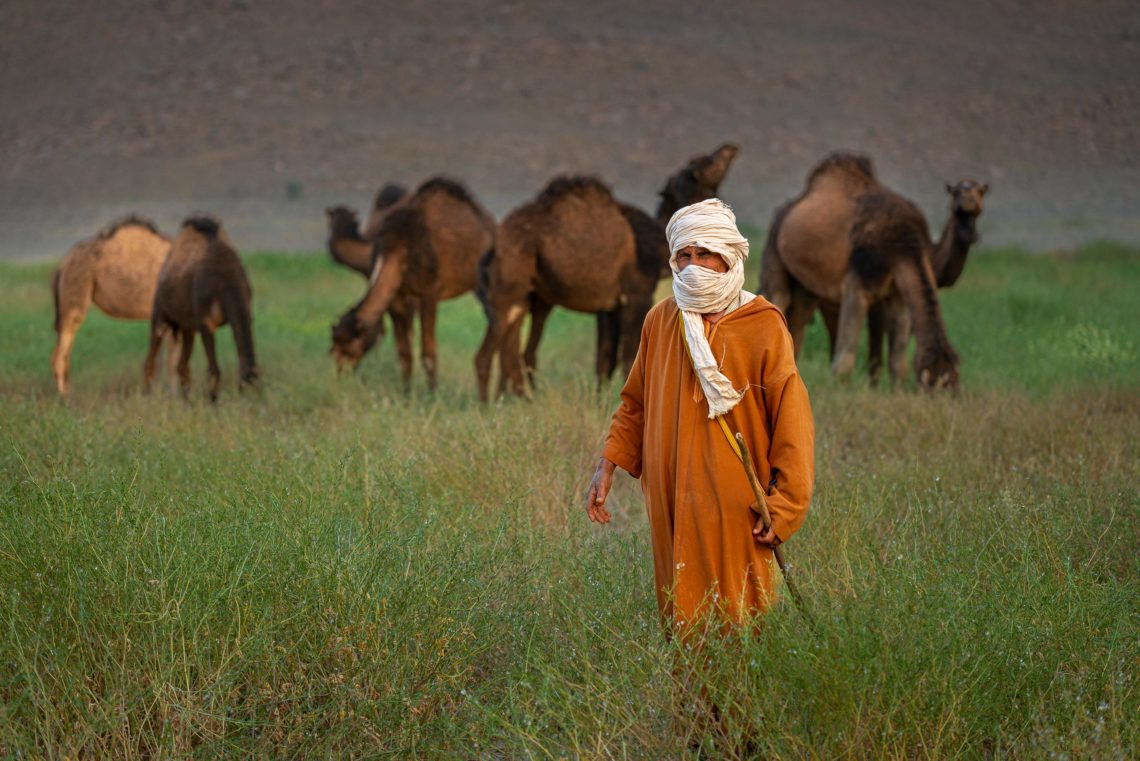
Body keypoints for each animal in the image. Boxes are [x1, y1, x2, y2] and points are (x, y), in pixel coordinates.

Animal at [143, 215, 257, 401]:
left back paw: (187, 401)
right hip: (160, 315)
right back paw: (148, 397)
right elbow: (213, 370)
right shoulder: (206, 322)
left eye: (256, 387)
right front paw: (213, 402)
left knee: (182, 365)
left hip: (186, 327)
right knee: (150, 361)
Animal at [326, 176, 494, 391]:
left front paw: (432, 394)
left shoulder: (428, 295)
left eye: (350, 348)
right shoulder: (396, 299)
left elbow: (428, 353)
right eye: (333, 348)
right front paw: (405, 393)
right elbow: (403, 353)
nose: (341, 375)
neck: (399, 249)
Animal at [469, 175, 638, 401]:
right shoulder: (635, 292)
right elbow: (628, 354)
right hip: (511, 297)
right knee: (493, 355)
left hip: (520, 301)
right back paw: (496, 402)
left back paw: (515, 399)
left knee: (511, 351)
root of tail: (493, 249)